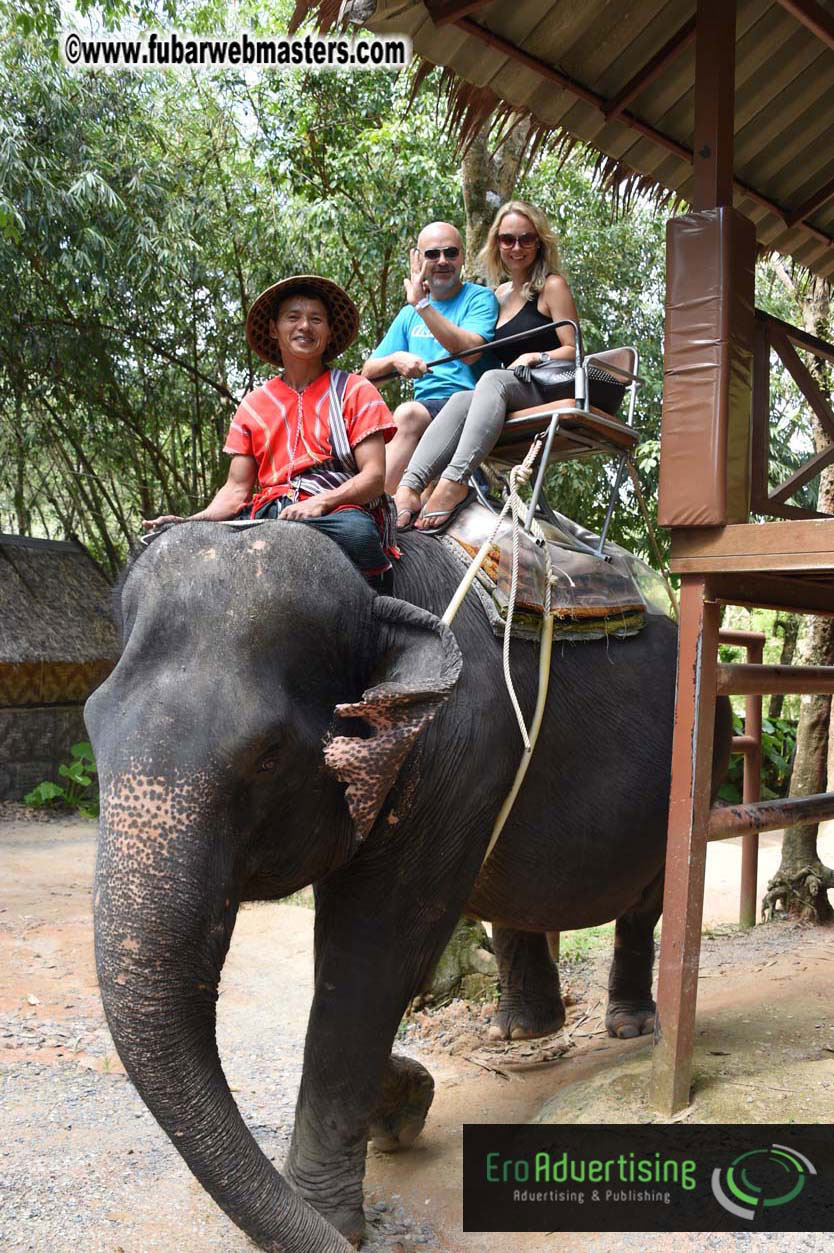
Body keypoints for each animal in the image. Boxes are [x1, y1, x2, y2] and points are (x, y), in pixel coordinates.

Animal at [85, 517, 731, 1252]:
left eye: (268, 755)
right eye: (90, 727)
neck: (375, 587)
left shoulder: (456, 749)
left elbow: (374, 952)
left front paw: (336, 1213)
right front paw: (401, 1106)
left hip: (706, 744)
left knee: (649, 898)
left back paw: (630, 1027)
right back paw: (520, 1030)